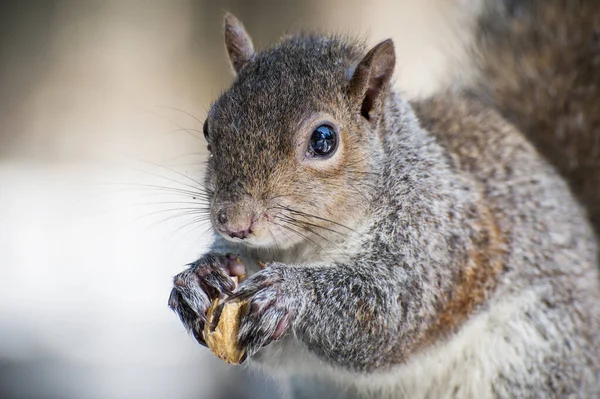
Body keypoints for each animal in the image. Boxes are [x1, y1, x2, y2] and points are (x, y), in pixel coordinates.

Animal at [168, 1, 600, 398]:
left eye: (323, 139)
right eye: (208, 128)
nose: (234, 222)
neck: (306, 247)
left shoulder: (440, 239)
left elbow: (388, 314)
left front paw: (291, 291)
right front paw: (200, 276)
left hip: (533, 362)